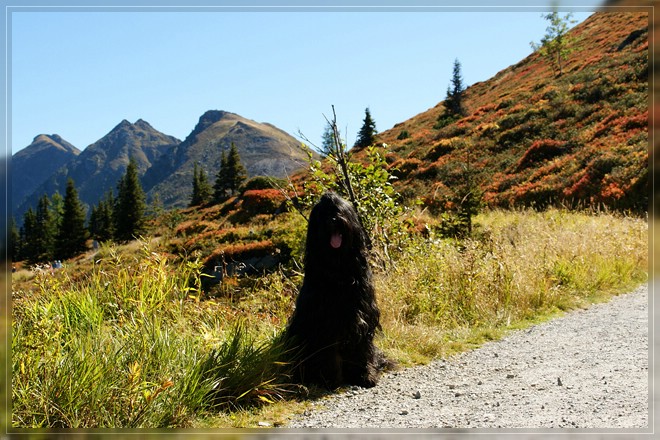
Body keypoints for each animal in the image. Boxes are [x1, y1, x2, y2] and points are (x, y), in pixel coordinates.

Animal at [282, 192, 386, 388]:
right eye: (323, 214)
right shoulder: (325, 322)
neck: (338, 267)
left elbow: (362, 348)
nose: (333, 220)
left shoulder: (362, 315)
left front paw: (365, 375)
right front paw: (332, 380)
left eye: (339, 209)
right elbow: (329, 353)